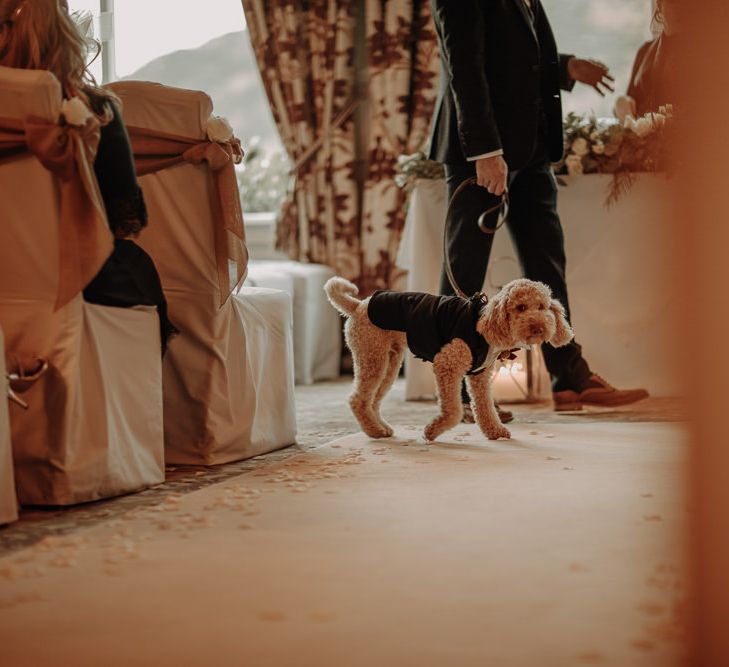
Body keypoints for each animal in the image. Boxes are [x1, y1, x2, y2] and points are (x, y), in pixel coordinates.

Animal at [326, 278, 576, 444]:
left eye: (542, 307)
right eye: (521, 307)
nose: (539, 328)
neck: (485, 325)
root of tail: (358, 306)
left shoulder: (479, 375)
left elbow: (484, 406)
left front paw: (495, 431)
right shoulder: (447, 364)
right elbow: (454, 410)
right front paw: (431, 431)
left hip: (389, 362)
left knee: (373, 401)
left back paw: (380, 428)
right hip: (372, 357)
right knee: (358, 399)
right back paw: (374, 431)